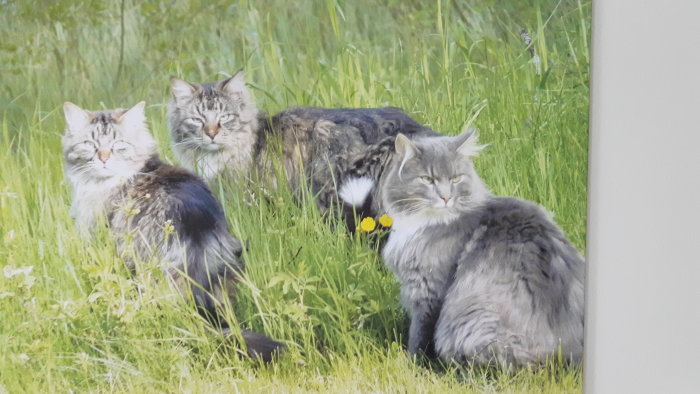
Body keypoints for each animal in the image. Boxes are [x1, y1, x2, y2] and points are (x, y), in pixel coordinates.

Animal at [340, 131, 584, 368]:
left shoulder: (428, 289)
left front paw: (412, 364)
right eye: (427, 179)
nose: (446, 197)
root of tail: (569, 354)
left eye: (455, 178)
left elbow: (419, 334)